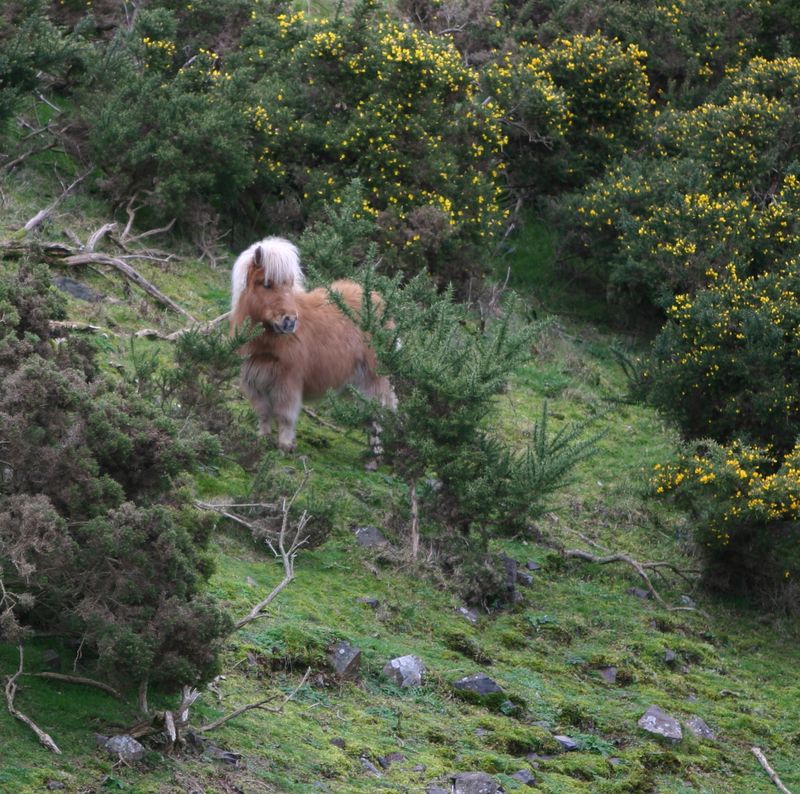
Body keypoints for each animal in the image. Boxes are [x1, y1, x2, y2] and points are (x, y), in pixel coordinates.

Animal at [230, 237, 396, 452]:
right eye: (266, 283)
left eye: (289, 285)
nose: (290, 321)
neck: (265, 344)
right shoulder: (255, 382)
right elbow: (263, 413)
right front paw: (263, 439)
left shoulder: (288, 383)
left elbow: (285, 416)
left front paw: (285, 446)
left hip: (373, 378)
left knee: (377, 413)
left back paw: (376, 453)